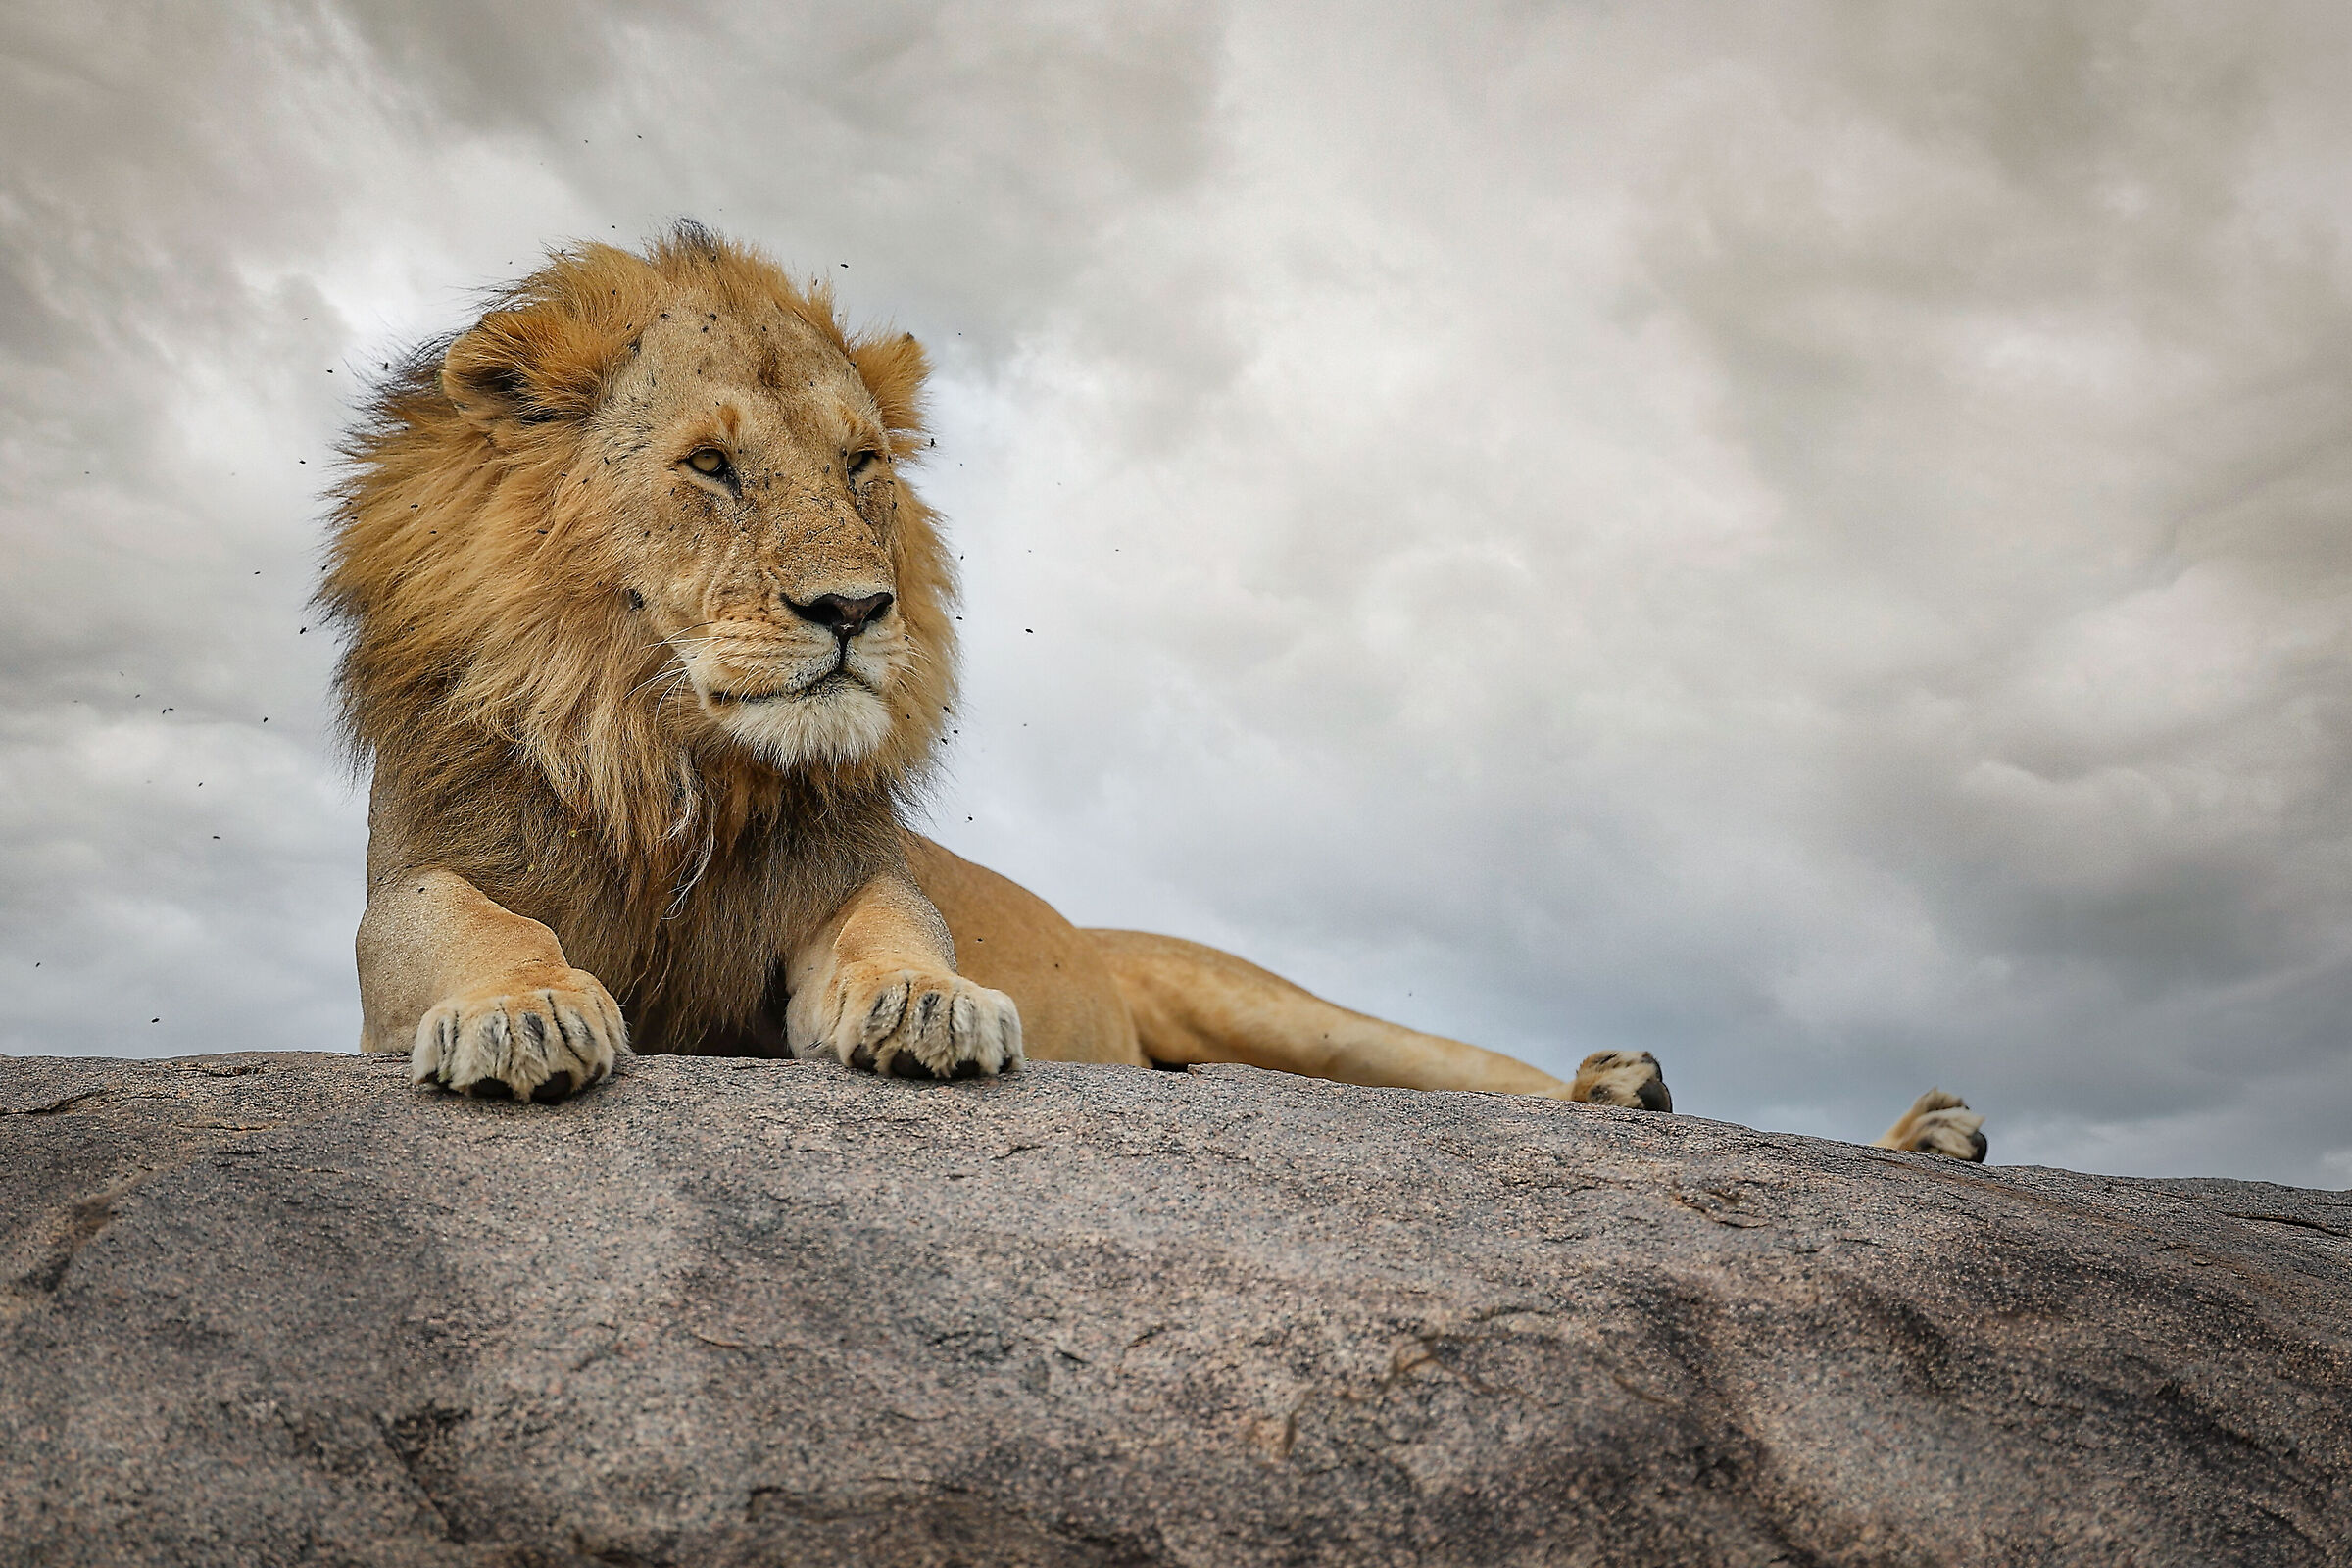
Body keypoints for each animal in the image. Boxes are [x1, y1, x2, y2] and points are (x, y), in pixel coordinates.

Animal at [322, 223, 1986, 1162]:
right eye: (711, 467)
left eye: (859, 466)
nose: (856, 612)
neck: (666, 757)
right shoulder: (415, 889)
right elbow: (464, 923)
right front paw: (524, 1020)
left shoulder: (847, 881)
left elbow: (888, 927)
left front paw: (925, 1008)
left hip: (1279, 1010)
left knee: (1474, 1079)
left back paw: (1852, 1125)